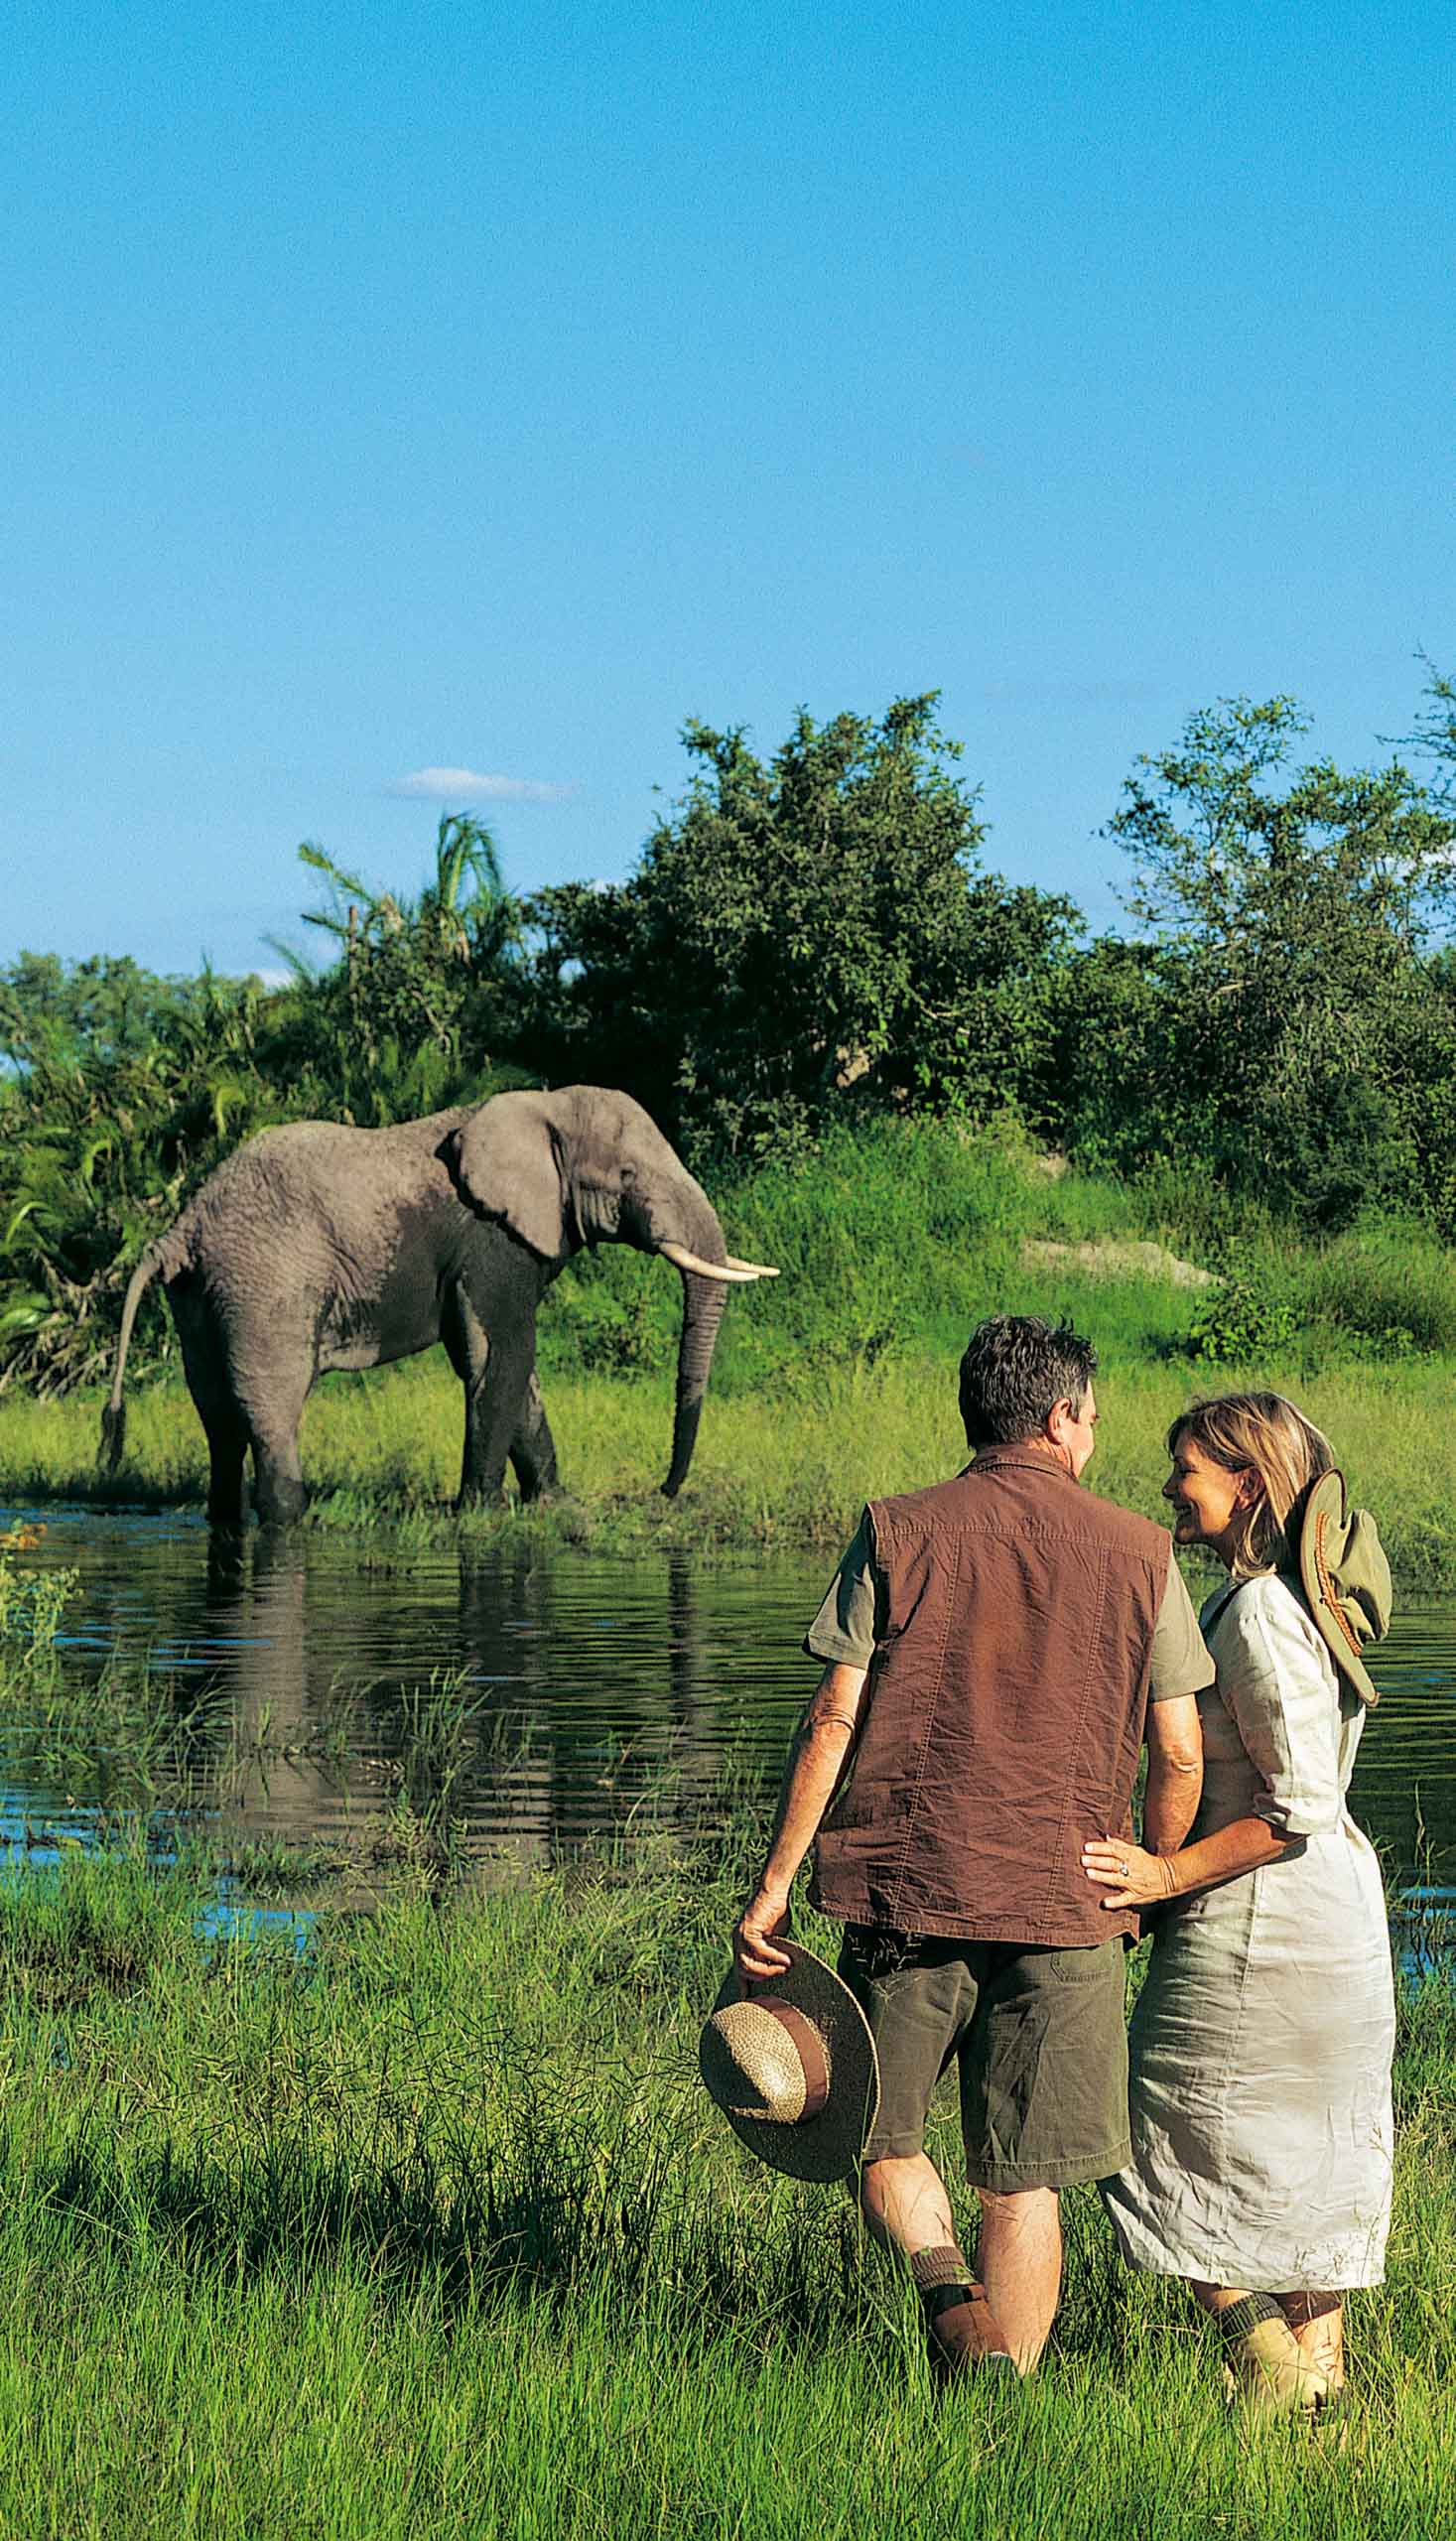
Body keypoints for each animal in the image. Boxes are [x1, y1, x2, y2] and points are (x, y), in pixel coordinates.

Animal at [99, 1084, 776, 1528]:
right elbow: (501, 1355)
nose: (664, 1492)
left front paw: (552, 1505)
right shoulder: (491, 1239)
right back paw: (293, 1517)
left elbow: (509, 1369)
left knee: (216, 1412)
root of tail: (179, 1229)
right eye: (628, 1174)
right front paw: (480, 1514)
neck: (544, 1105)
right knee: (272, 1405)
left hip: (202, 1296)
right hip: (265, 1283)